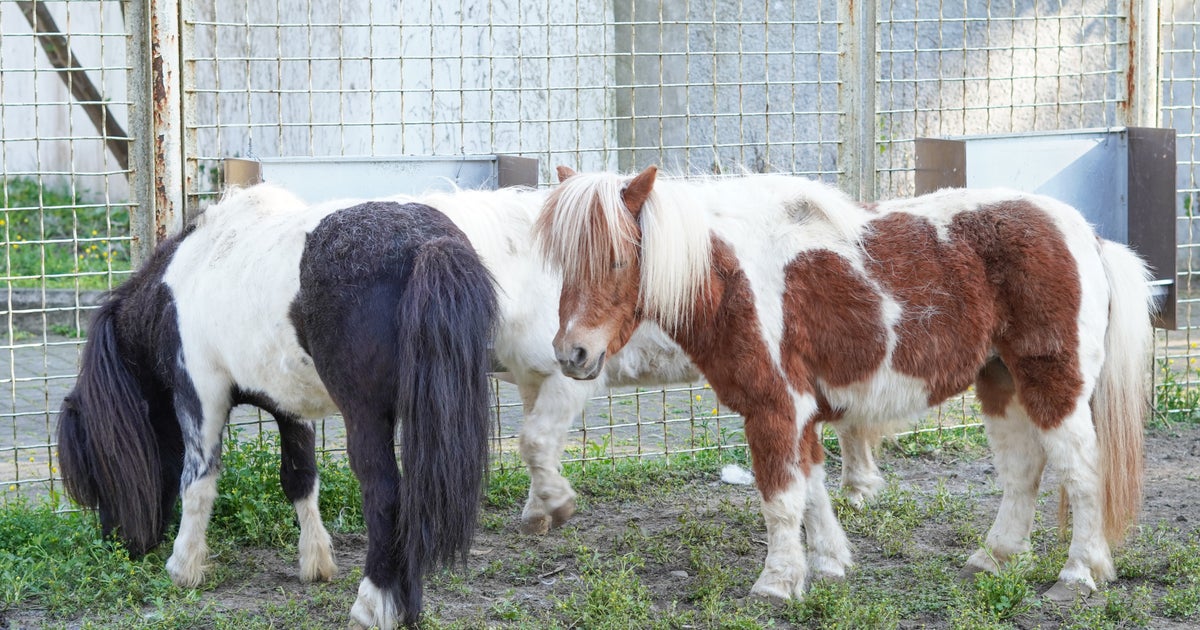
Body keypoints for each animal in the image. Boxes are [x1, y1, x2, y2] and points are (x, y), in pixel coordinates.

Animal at [56, 184, 498, 629]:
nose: (118, 543)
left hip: (367, 416)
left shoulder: (200, 393)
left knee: (385, 492)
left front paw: (184, 566)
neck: (179, 283)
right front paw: (316, 562)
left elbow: (197, 480)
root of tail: (428, 244)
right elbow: (300, 479)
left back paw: (372, 604)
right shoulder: (290, 406)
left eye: (96, 466)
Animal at [535, 165, 1153, 603]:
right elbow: (811, 488)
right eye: (562, 263)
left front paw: (777, 583)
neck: (732, 279)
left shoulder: (774, 408)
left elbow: (781, 498)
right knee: (1023, 471)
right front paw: (830, 565)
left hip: (1055, 383)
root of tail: (1088, 236)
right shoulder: (800, 411)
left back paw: (1078, 574)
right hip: (1001, 382)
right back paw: (994, 558)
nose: (572, 353)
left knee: (1081, 470)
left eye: (619, 259)